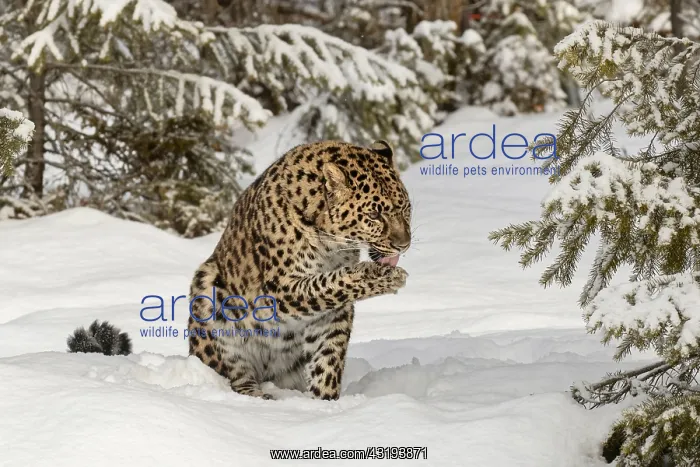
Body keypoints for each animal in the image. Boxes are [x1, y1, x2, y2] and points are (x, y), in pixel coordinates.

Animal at [186, 139, 412, 401]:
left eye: (406, 208)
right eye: (374, 215)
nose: (404, 244)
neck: (331, 243)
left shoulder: (334, 315)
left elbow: (329, 358)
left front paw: (325, 401)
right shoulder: (278, 290)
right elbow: (328, 284)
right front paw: (384, 276)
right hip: (207, 288)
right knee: (234, 375)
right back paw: (259, 397)